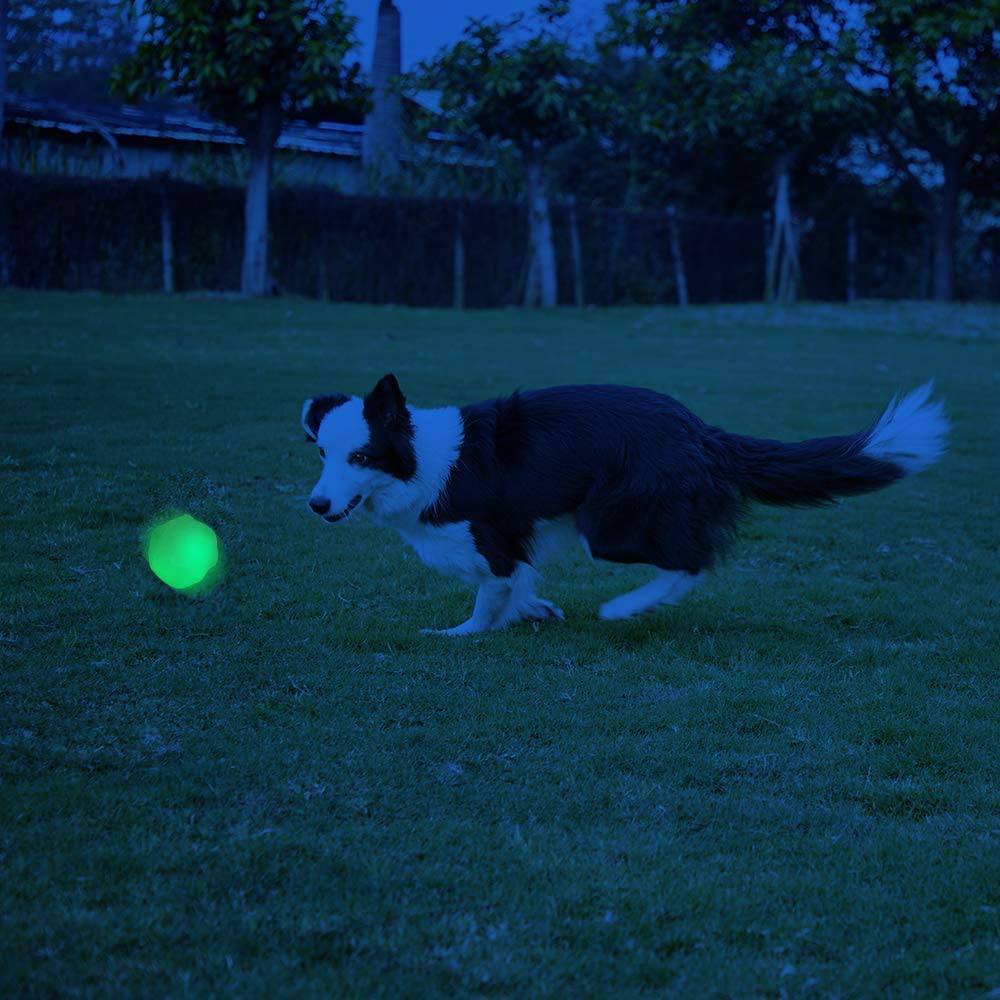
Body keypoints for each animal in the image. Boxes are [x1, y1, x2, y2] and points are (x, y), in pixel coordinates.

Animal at [300, 376, 948, 632]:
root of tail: (700, 431)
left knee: (692, 560)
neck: (423, 458)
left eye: (360, 455)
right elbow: (518, 582)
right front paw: (535, 611)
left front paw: (463, 634)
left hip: (609, 524)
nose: (317, 504)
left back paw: (627, 608)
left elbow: (491, 590)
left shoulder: (492, 535)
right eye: (321, 453)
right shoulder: (519, 538)